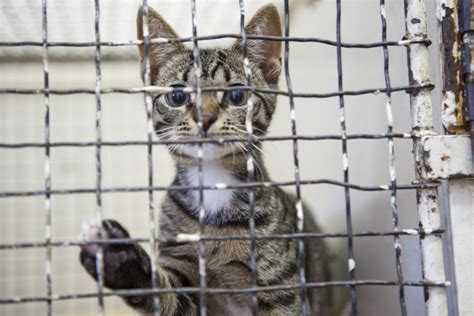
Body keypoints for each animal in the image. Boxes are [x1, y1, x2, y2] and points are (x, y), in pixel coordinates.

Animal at [79, 4, 332, 316]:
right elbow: (168, 296)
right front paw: (119, 258)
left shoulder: (281, 291)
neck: (214, 185)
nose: (205, 117)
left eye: (237, 95)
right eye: (177, 96)